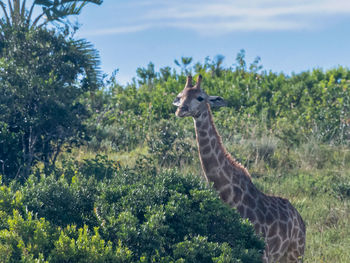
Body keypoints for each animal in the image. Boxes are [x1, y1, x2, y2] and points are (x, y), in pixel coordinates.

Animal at [173, 75, 306, 262]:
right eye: (180, 96)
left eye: (200, 97)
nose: (181, 110)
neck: (230, 198)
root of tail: (301, 220)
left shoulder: (262, 253)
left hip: (295, 254)